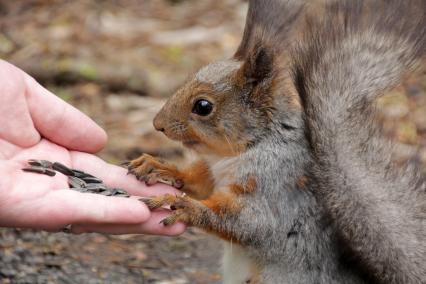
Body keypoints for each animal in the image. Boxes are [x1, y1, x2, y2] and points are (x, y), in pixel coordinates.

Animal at [127, 0, 426, 284]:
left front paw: (186, 207)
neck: (236, 154)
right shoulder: (213, 174)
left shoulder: (275, 186)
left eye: (203, 106)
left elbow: (253, 223)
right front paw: (158, 167)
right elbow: (199, 182)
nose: (158, 124)